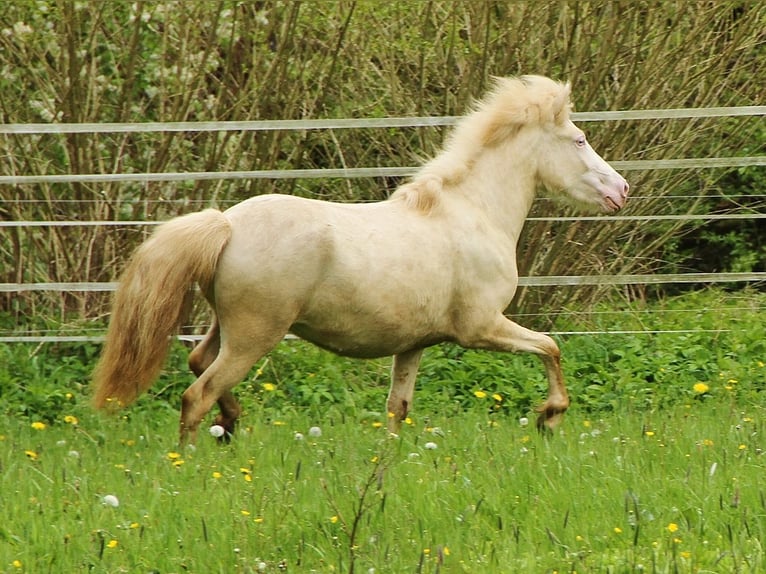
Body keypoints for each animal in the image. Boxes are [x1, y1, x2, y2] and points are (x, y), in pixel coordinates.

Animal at [91, 76, 632, 446]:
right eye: (580, 140)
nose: (622, 190)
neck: (472, 212)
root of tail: (226, 224)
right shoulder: (481, 327)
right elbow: (551, 347)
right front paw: (550, 416)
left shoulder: (414, 344)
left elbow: (398, 408)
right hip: (255, 335)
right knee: (196, 395)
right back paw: (191, 462)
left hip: (227, 327)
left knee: (198, 363)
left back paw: (231, 424)